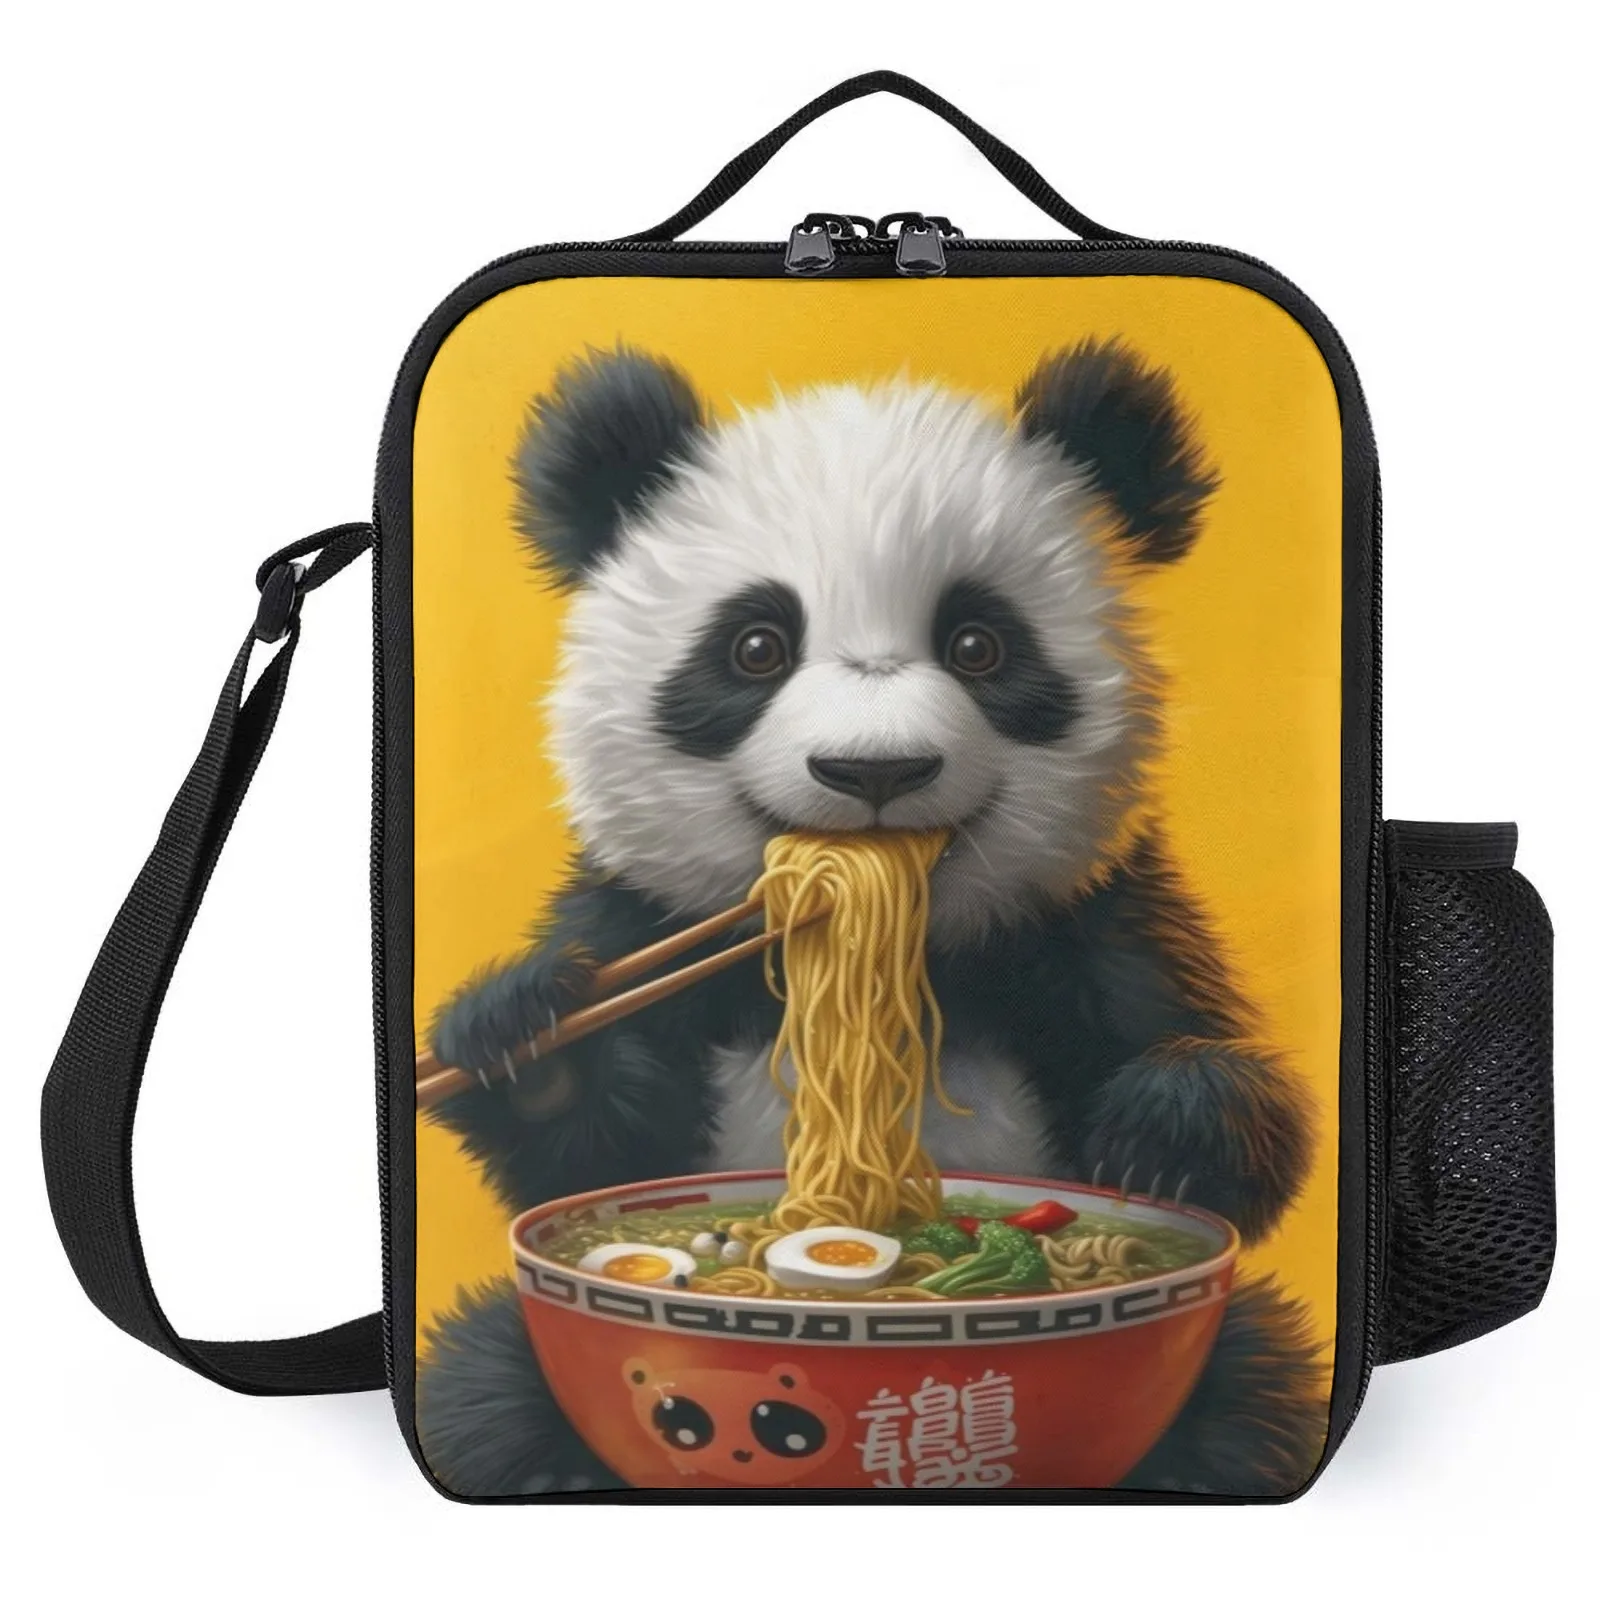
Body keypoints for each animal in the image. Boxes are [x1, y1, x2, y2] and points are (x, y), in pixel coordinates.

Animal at [417, 338, 1325, 1498]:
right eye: (755, 646)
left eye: (979, 643)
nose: (875, 771)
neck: (928, 949)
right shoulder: (636, 922)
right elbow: (593, 1154)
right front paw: (521, 1035)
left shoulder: (1098, 918)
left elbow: (1202, 1087)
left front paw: (1167, 1131)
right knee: (487, 1395)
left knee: (1244, 1401)